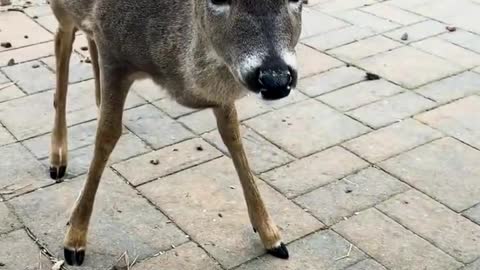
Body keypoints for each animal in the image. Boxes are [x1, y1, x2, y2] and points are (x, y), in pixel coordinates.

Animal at [49, 0, 304, 266]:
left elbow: (233, 135)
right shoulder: (112, 51)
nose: (275, 79)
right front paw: (74, 239)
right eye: (217, 1)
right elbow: (107, 135)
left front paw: (271, 234)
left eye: (299, 1)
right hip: (61, 12)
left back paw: (97, 101)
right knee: (61, 42)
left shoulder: (220, 91)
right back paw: (57, 159)